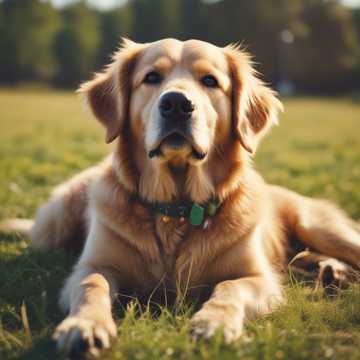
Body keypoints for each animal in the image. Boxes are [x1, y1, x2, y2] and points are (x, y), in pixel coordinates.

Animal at [5, 38, 360, 358]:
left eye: (210, 81)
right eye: (151, 77)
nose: (176, 103)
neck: (177, 207)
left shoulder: (259, 278)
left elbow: (229, 288)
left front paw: (213, 323)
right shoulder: (93, 265)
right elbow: (92, 285)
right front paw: (85, 326)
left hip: (319, 227)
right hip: (56, 222)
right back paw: (328, 270)